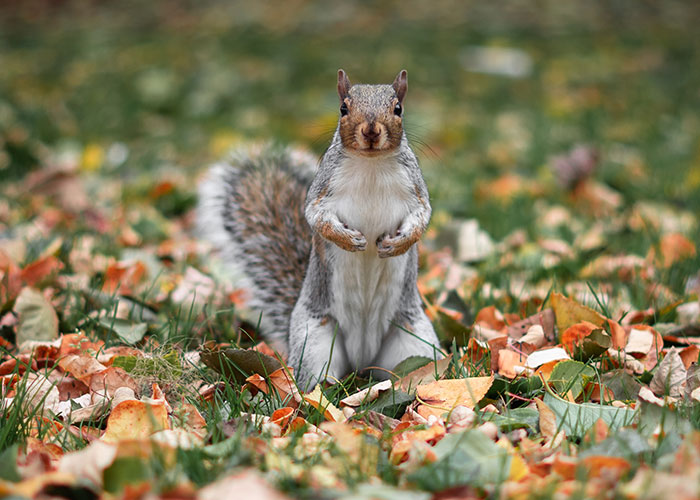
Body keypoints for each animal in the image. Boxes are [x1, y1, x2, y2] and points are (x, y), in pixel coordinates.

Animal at [198, 70, 442, 390]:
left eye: (398, 108)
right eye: (343, 108)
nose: (371, 131)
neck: (371, 164)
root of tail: (362, 360)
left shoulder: (416, 191)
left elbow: (422, 218)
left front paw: (397, 244)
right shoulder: (321, 191)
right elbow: (316, 218)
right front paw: (349, 240)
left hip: (415, 339)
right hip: (314, 342)